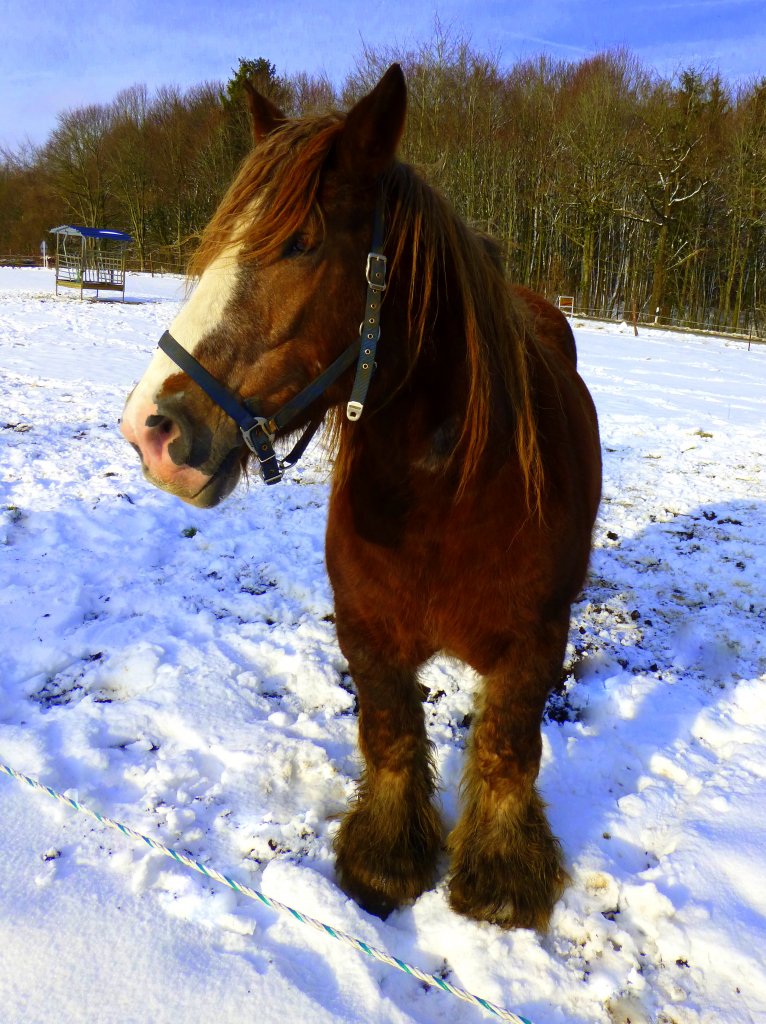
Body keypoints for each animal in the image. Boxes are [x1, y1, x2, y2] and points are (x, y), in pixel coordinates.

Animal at [119, 64, 602, 929]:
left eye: (304, 243)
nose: (150, 430)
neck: (448, 499)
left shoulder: (533, 645)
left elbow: (507, 748)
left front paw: (501, 878)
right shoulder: (369, 633)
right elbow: (392, 734)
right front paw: (387, 860)